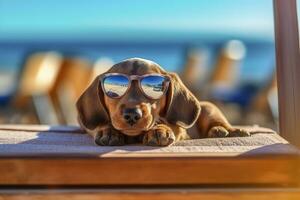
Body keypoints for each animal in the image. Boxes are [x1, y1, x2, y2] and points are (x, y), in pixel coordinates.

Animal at [76, 57, 250, 146]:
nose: (131, 114)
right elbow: (99, 124)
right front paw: (109, 130)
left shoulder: (181, 130)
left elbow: (170, 124)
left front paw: (159, 130)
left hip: (208, 107)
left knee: (217, 121)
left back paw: (225, 130)